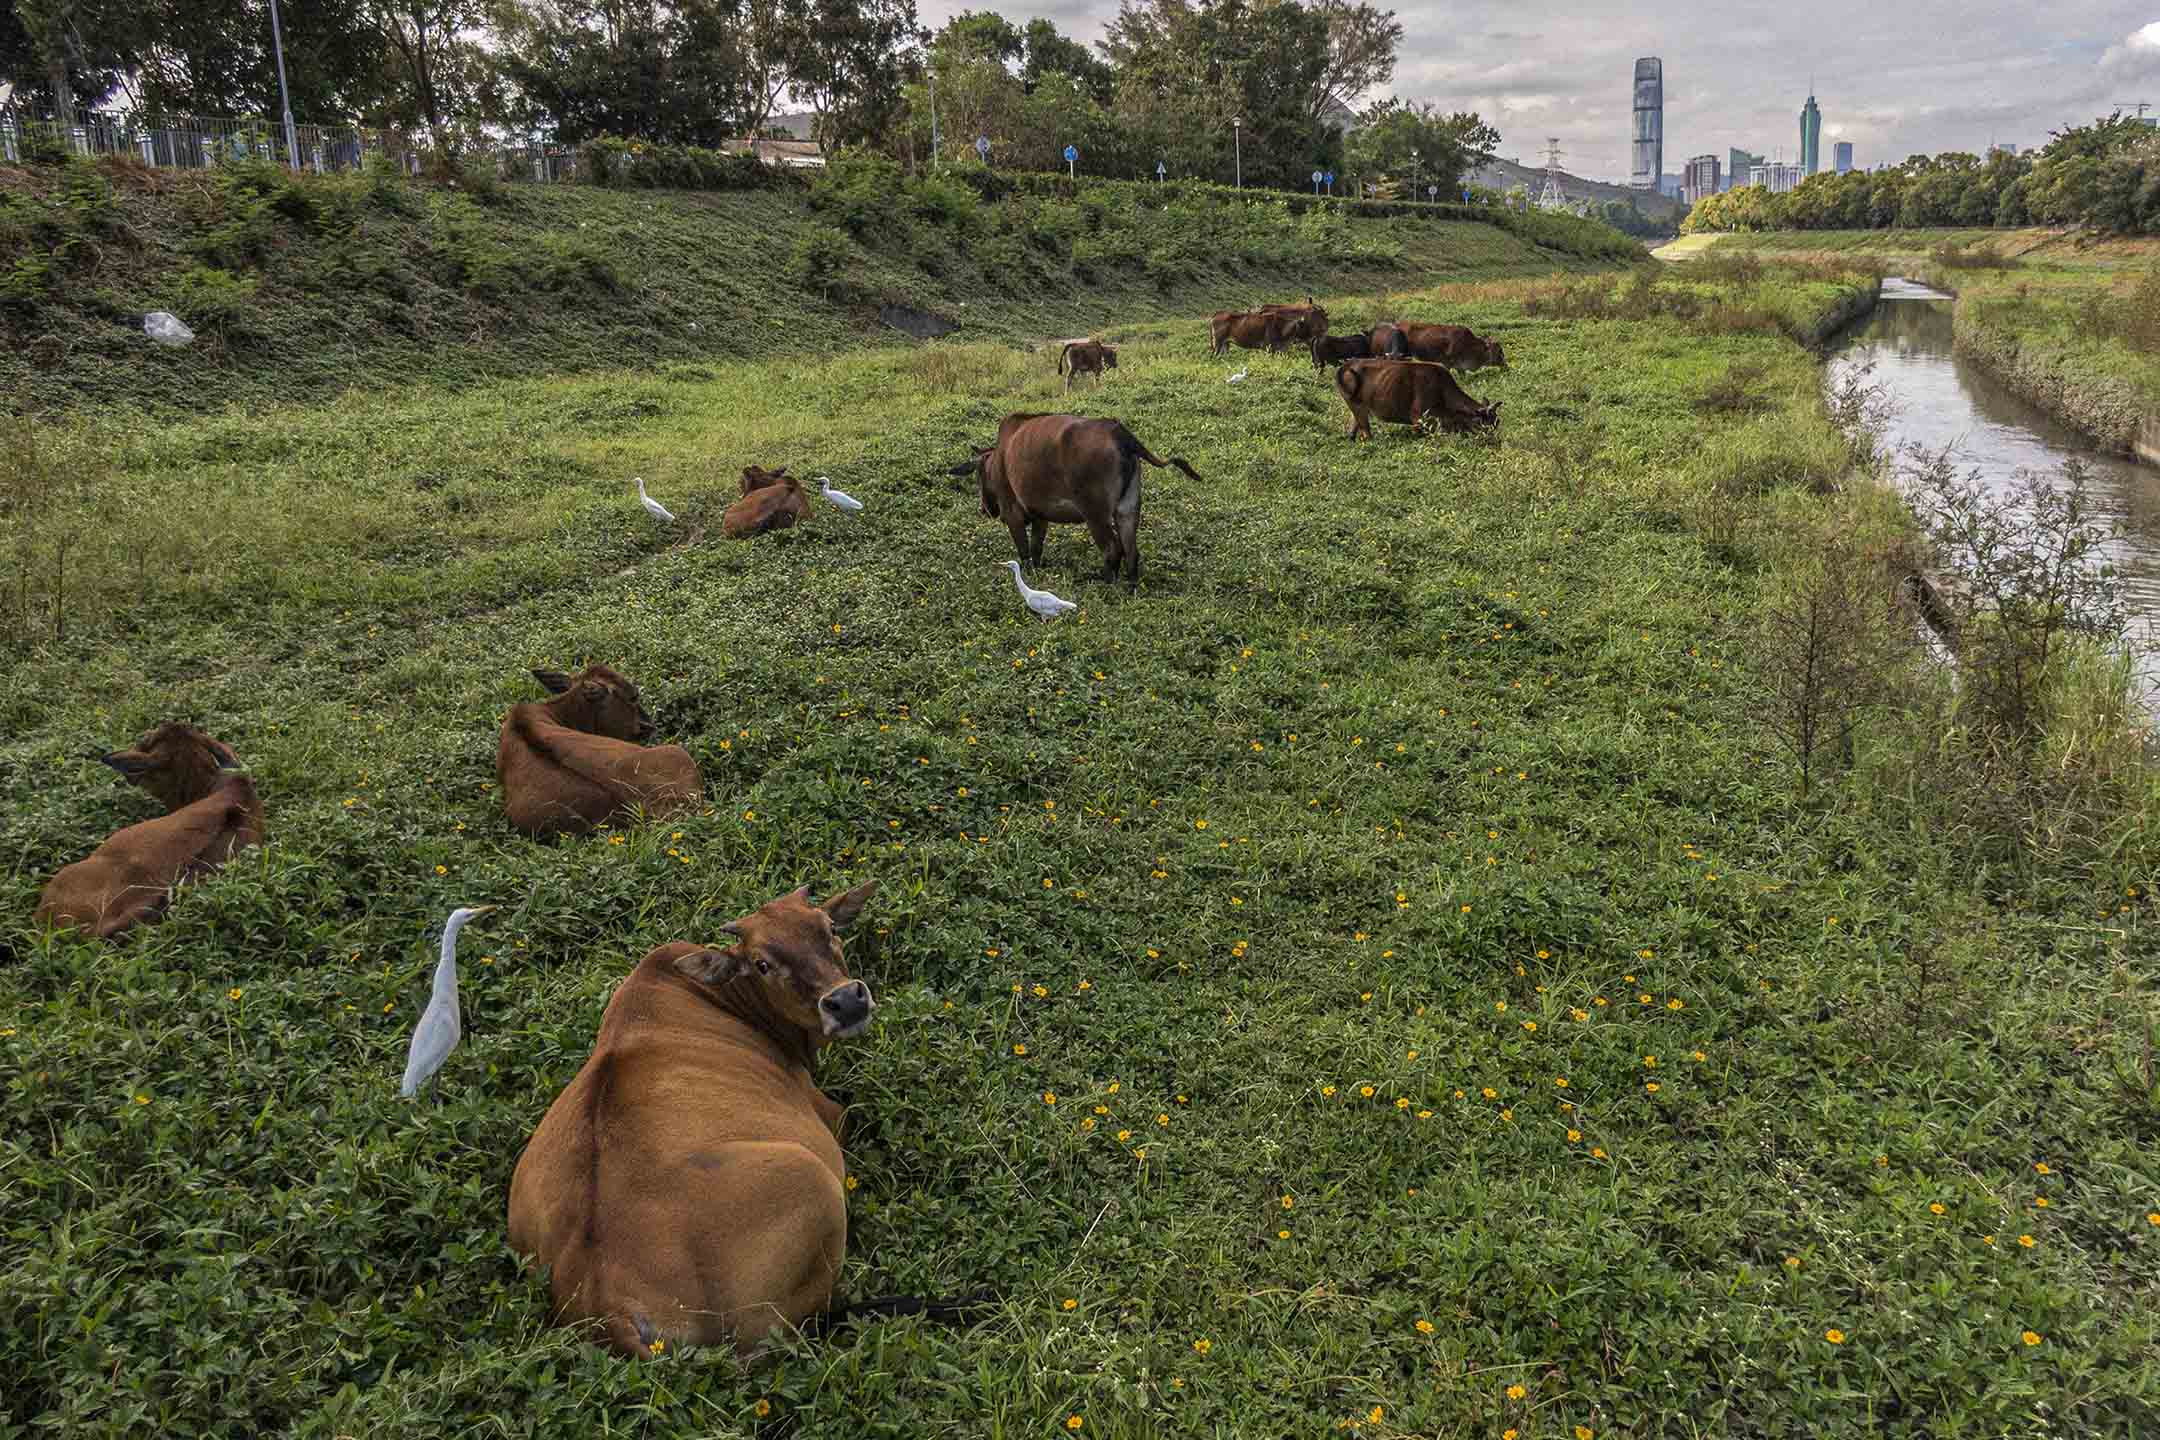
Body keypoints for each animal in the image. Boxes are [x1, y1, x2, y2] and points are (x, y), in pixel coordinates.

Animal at [505, 880, 885, 1355]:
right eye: (761, 963)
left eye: (828, 927)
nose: (846, 1001)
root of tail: (609, 1306)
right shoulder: (829, 1112)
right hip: (811, 1180)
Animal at [946, 410, 1209, 591]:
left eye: (979, 474)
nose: (985, 509)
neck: (998, 458)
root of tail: (1120, 434)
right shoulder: (1041, 515)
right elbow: (1036, 548)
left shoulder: (1012, 513)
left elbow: (1024, 551)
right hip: (1128, 508)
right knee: (1131, 550)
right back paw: (1130, 585)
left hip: (1095, 513)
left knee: (1113, 548)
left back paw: (1107, 584)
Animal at [1330, 356, 1503, 440]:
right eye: (1485, 424)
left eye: (1497, 423)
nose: (1494, 441)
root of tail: (1346, 365)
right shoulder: (1418, 419)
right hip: (1357, 406)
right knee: (1366, 431)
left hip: (1358, 410)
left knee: (1354, 428)